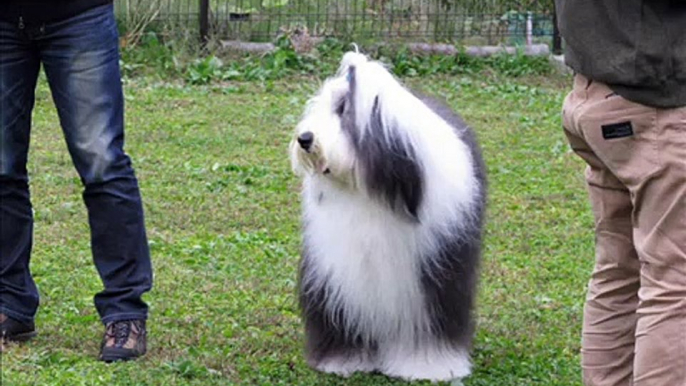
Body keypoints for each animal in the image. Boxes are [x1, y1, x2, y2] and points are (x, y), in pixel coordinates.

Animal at [290, 49, 490, 382]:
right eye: (321, 106)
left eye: (343, 109)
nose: (304, 138)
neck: (370, 194)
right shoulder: (337, 269)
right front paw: (343, 359)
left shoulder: (433, 272)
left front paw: (428, 366)